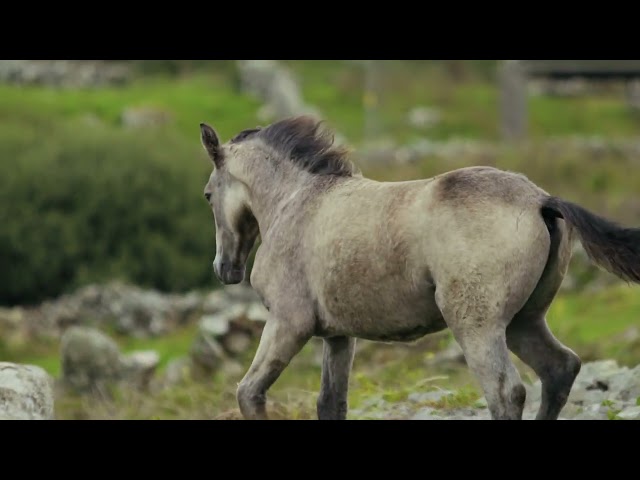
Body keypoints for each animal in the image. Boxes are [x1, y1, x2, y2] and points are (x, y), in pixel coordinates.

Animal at [199, 115, 640, 420]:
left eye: (206, 195)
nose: (225, 269)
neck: (296, 203)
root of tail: (540, 200)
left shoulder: (288, 323)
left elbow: (249, 392)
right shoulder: (339, 336)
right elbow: (331, 403)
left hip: (477, 326)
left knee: (506, 392)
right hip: (524, 320)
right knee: (560, 368)